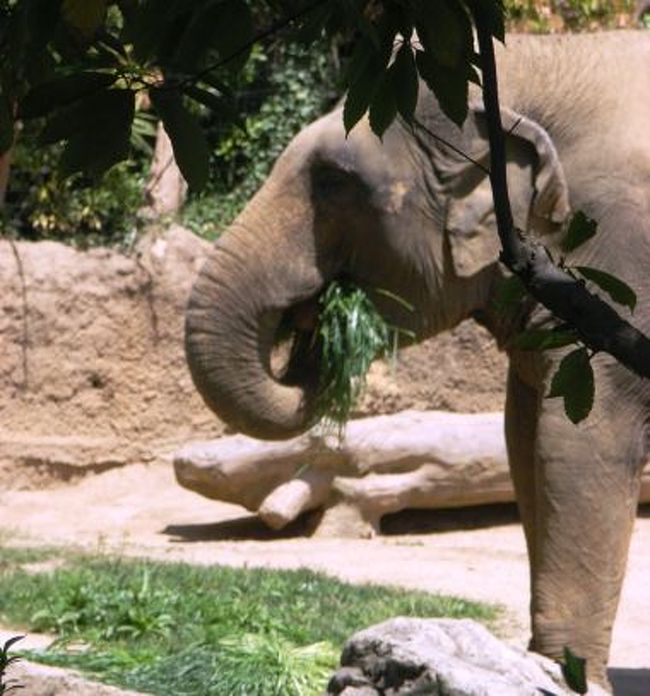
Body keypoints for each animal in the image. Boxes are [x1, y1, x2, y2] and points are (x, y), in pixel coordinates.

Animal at [182, 31, 648, 684]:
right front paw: (535, 666)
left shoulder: (622, 260)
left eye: (334, 181)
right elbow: (524, 436)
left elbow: (580, 443)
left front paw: (568, 678)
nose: (317, 323)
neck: (538, 64)